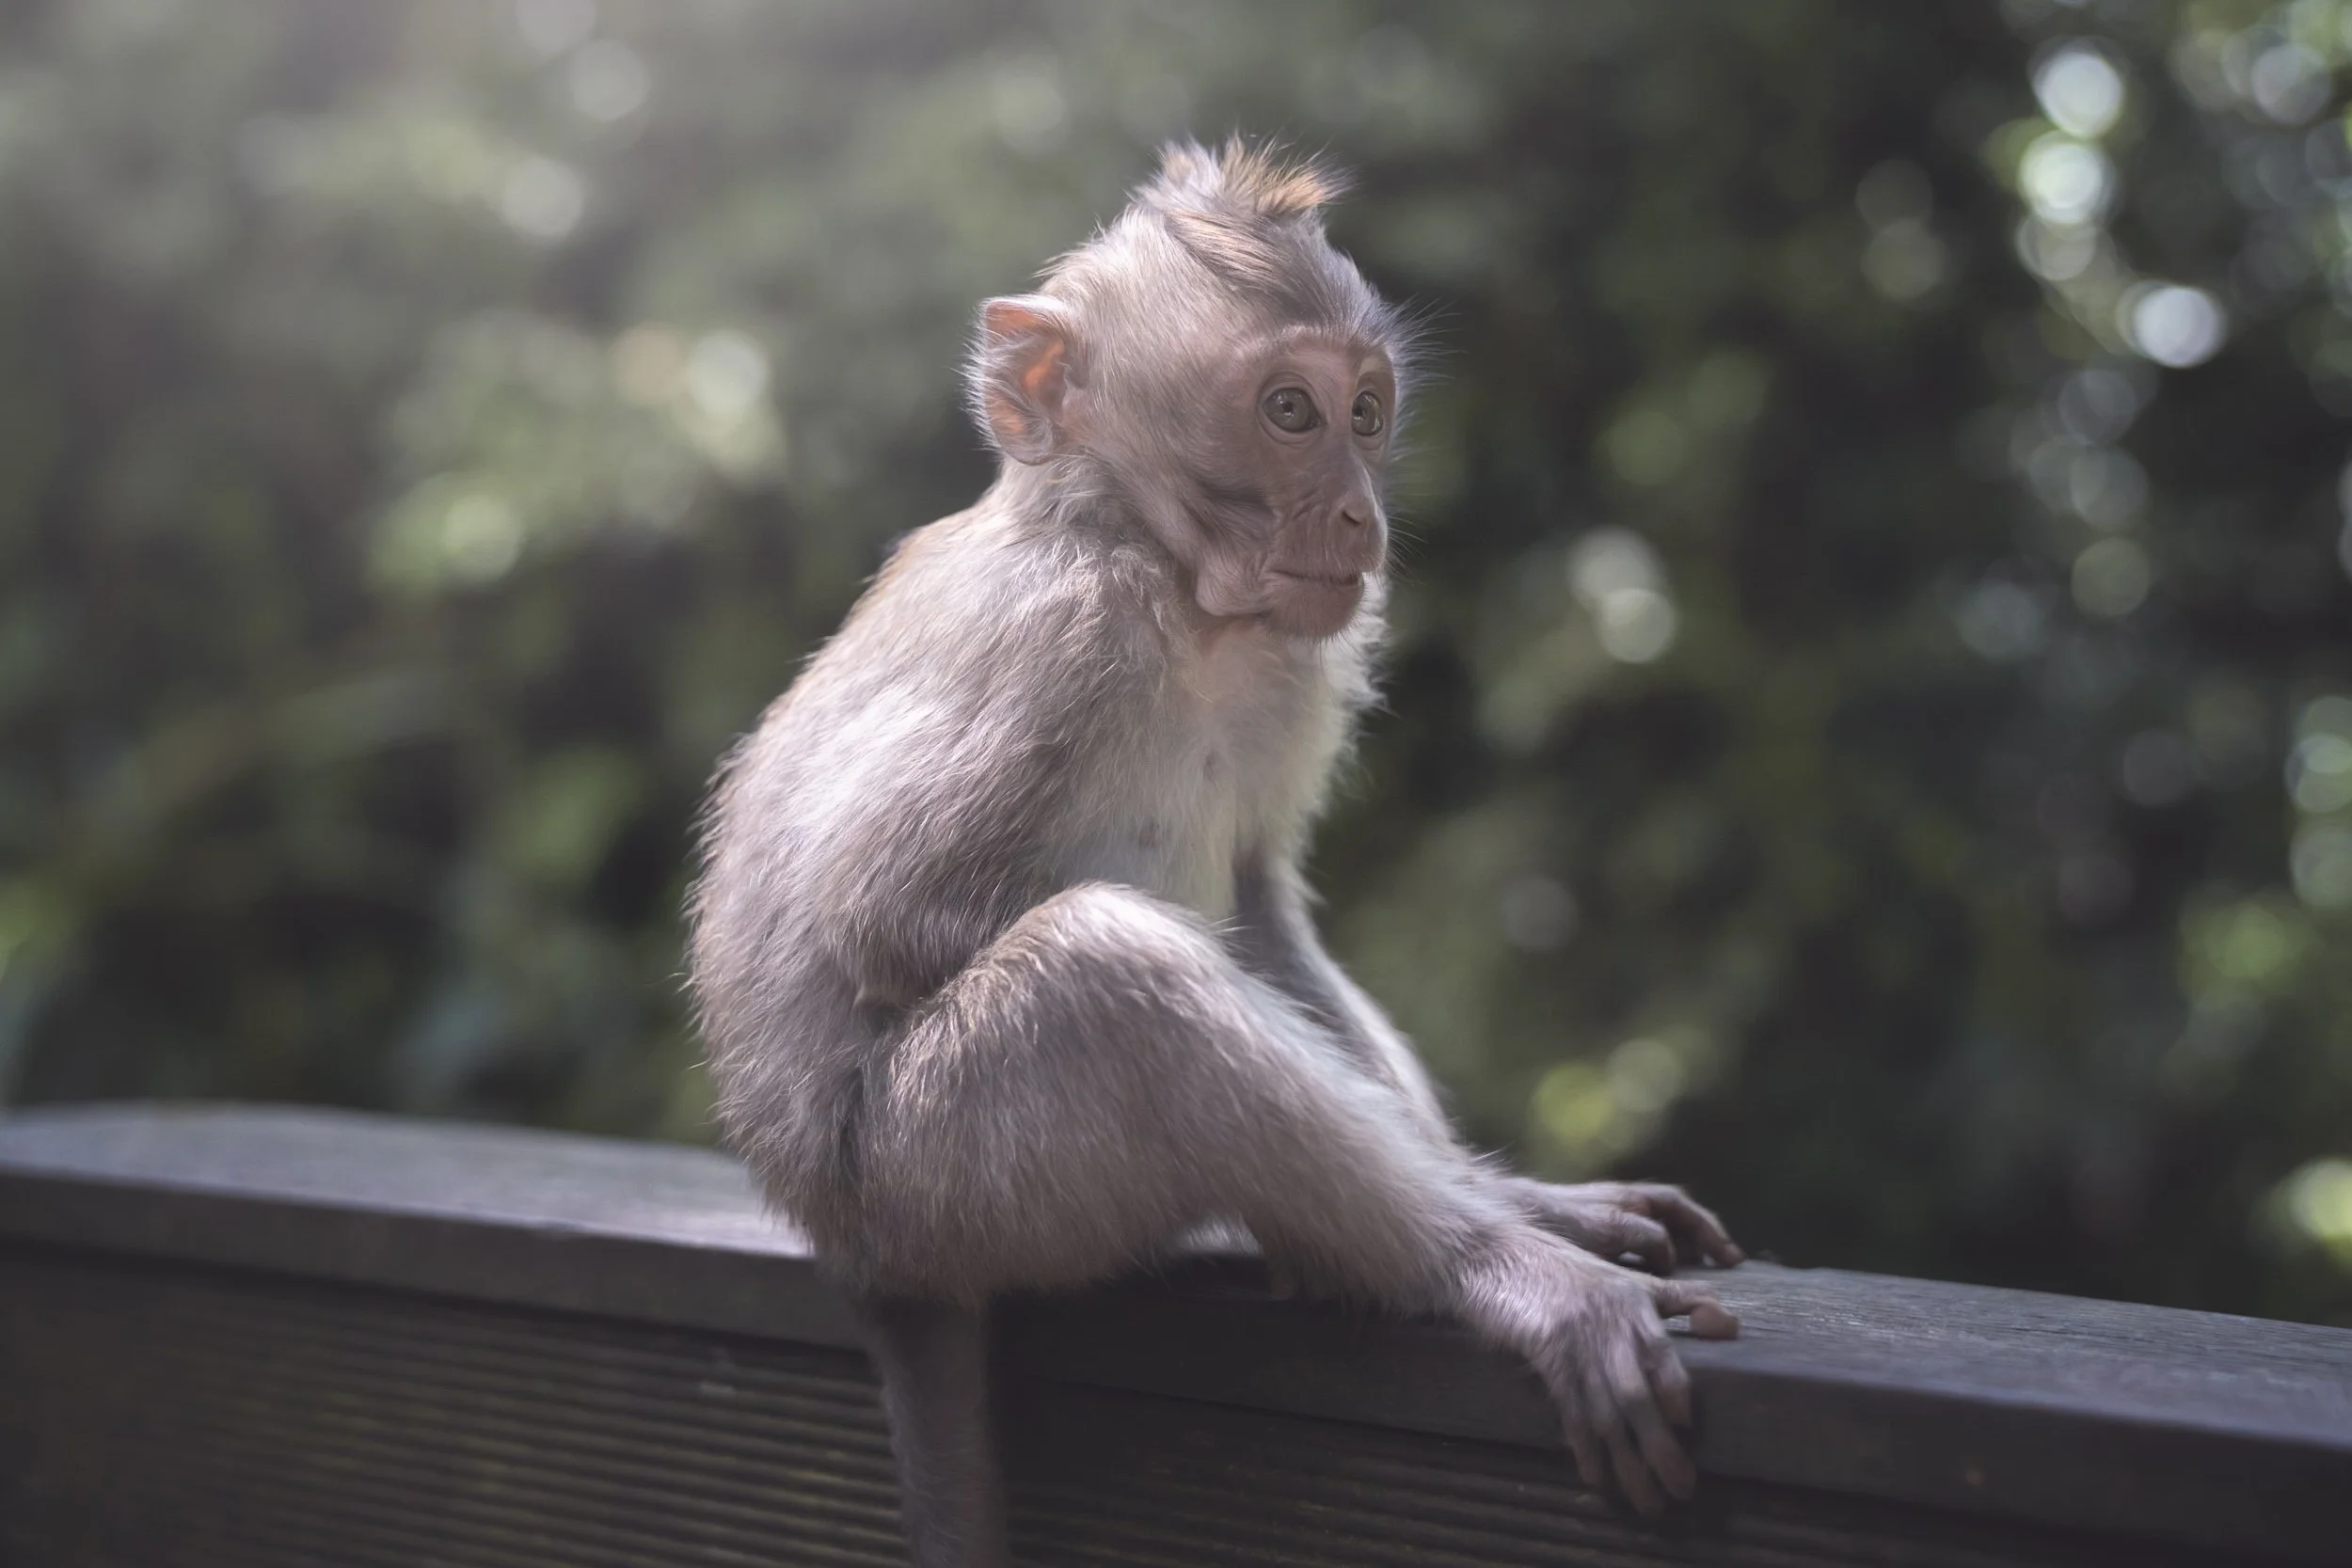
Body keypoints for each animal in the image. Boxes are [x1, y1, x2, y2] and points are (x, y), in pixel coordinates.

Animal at [687, 139, 1743, 1566]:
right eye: (1287, 411)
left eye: (1366, 411)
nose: (1357, 516)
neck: (1170, 580)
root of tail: (862, 1259)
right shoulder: (1065, 637)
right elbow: (884, 914)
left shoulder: (1297, 663)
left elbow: (1255, 910)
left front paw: (1516, 1188)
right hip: (939, 1180)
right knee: (1104, 974)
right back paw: (1487, 1263)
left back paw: (1511, 1211)